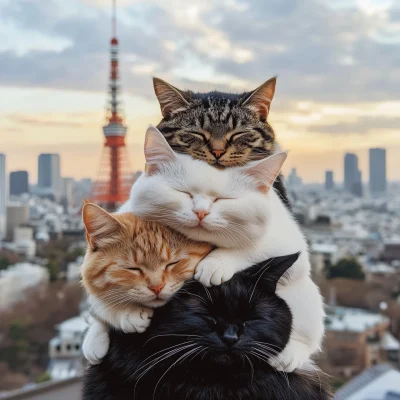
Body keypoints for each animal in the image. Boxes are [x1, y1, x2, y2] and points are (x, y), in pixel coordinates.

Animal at [119, 126, 324, 372]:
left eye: (223, 200)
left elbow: (252, 246)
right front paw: (125, 314)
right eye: (183, 193)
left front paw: (213, 265)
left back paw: (289, 355)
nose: (201, 212)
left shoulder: (287, 239)